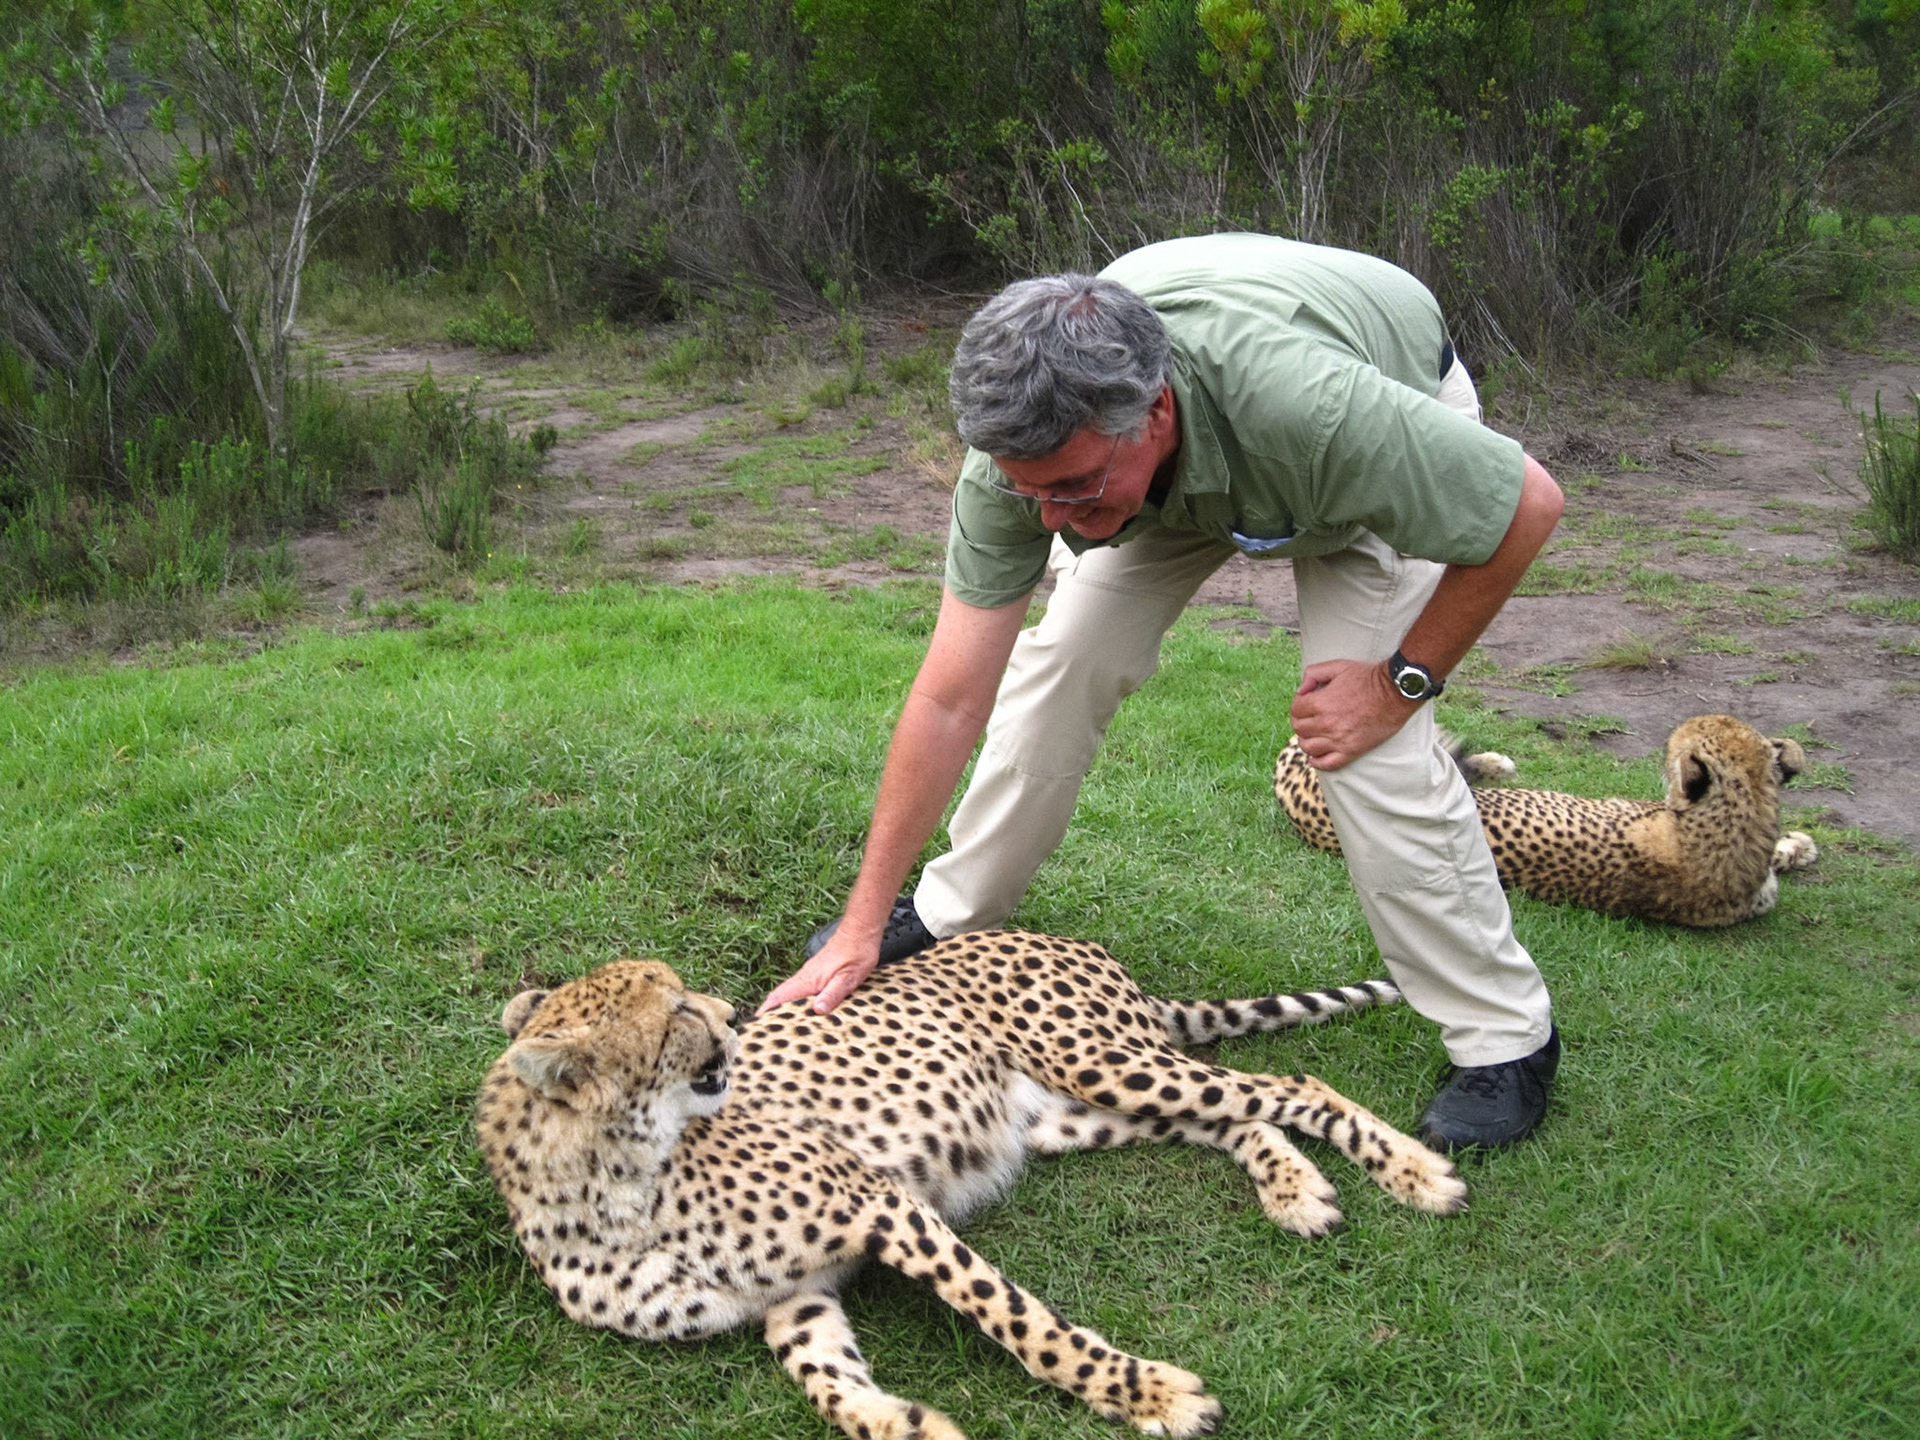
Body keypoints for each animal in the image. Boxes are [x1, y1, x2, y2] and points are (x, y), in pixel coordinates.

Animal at [476, 931, 1468, 1440]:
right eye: (676, 1012)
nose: (732, 1016)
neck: (617, 1189)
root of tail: (1060, 934)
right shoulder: (793, 1298)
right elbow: (830, 1387)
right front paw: (912, 1425)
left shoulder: (884, 1204)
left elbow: (1019, 1322)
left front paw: (1146, 1394)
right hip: (1073, 1113)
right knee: (1238, 1117)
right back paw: (1296, 1189)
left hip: (1105, 1063)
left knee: (1292, 1084)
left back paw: (1416, 1173)